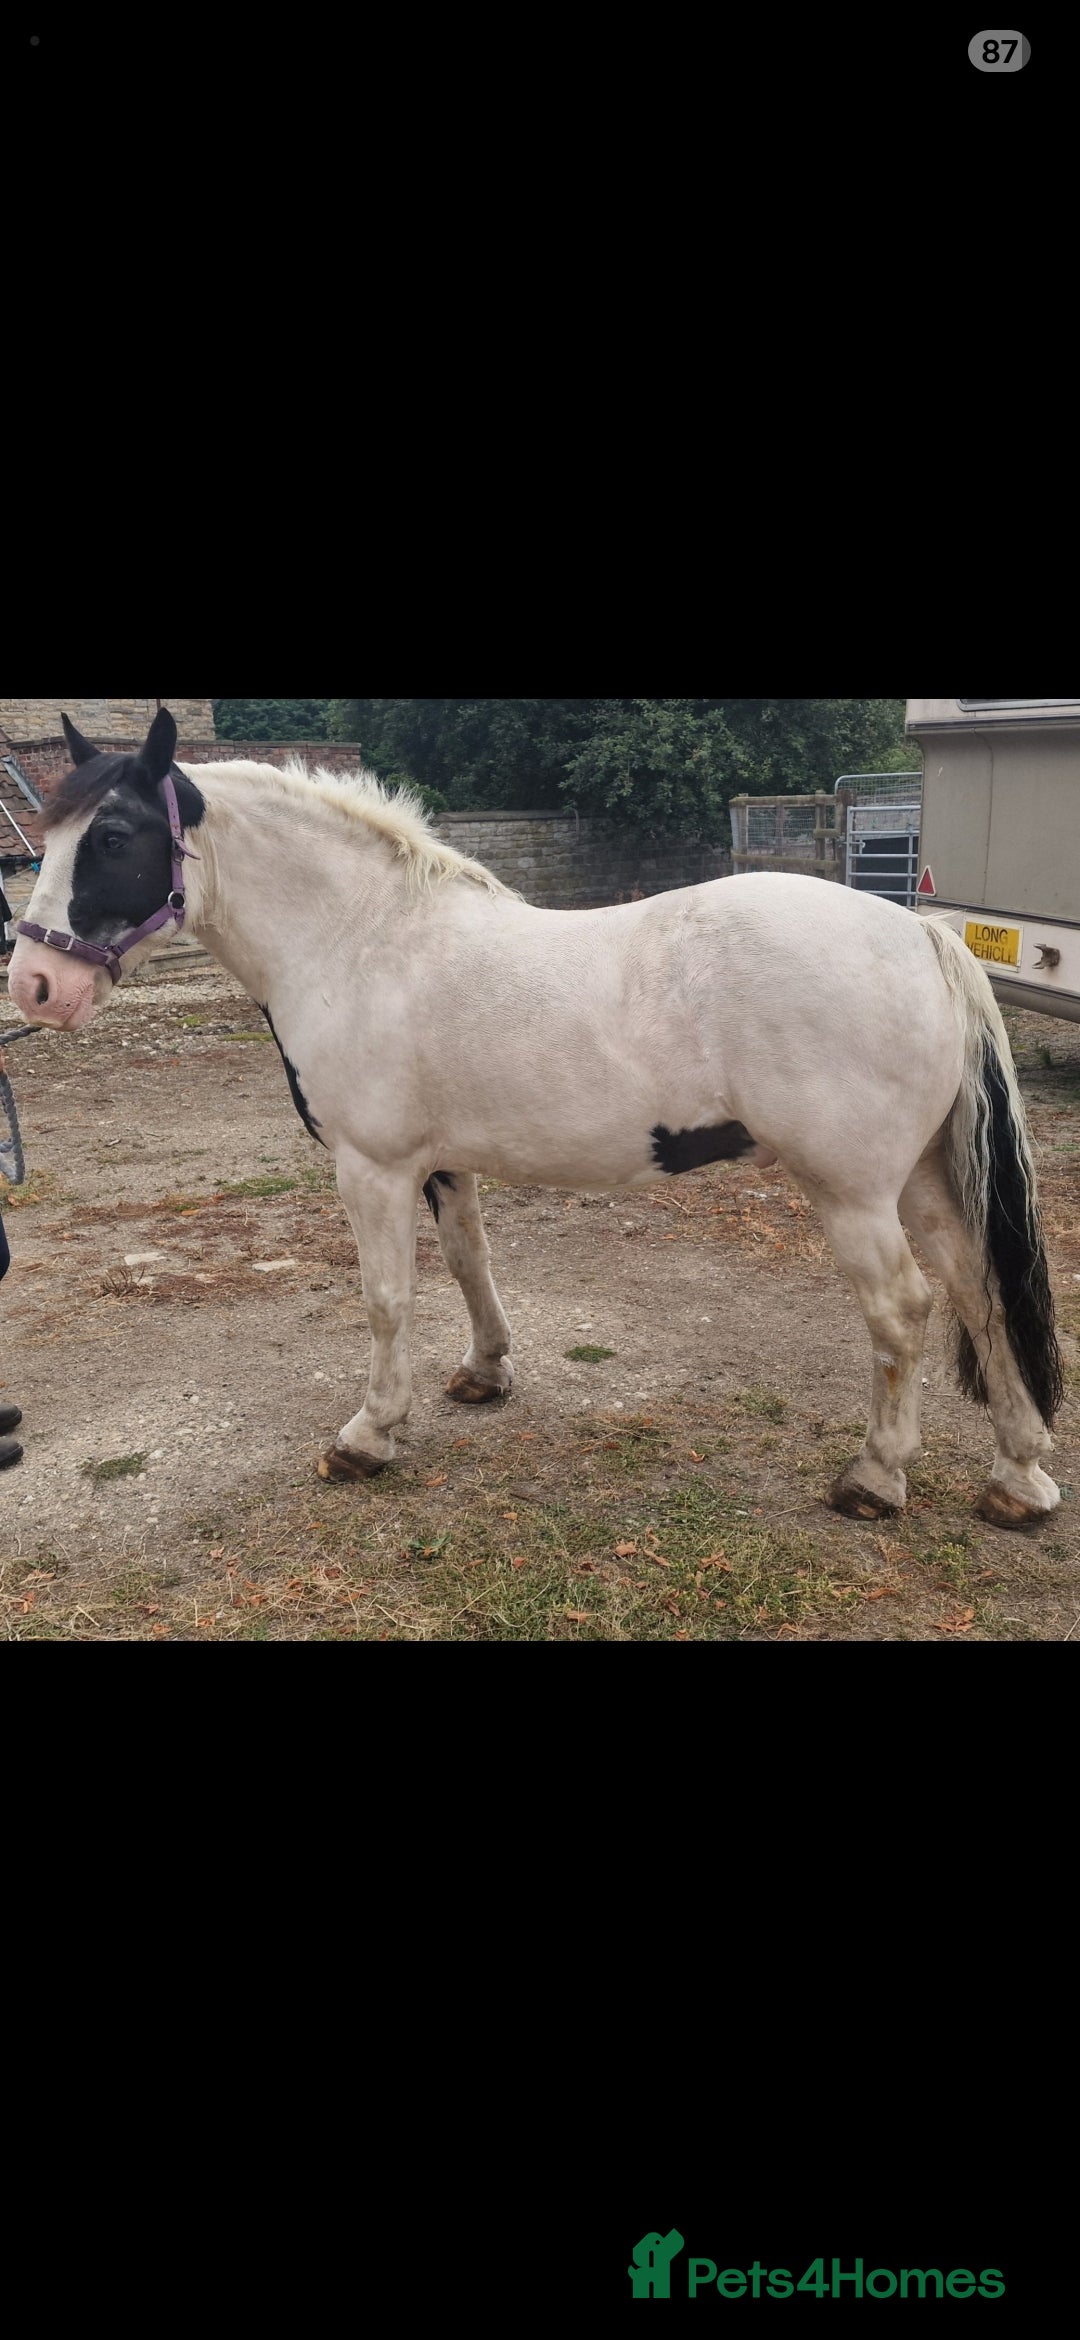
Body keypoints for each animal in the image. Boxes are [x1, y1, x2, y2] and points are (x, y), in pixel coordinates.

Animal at [7, 708, 1064, 1529]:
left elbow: (386, 1299)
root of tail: (919, 936)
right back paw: (1018, 1475)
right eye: (49, 838)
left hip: (852, 1193)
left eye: (113, 836)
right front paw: (484, 1373)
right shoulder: (442, 1163)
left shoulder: (371, 1168)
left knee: (903, 1311)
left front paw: (368, 1434)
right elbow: (469, 1263)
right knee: (978, 1291)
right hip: (922, 1180)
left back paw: (876, 1478)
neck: (363, 942)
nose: (37, 985)